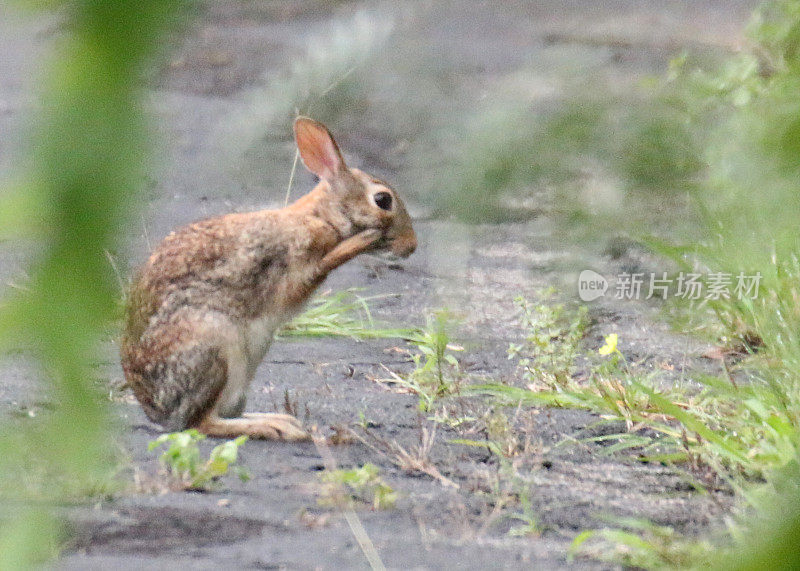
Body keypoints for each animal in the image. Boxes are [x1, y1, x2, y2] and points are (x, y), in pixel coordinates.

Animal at [122, 117, 418, 442]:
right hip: (213, 344)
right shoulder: (293, 267)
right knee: (202, 422)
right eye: (383, 200)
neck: (320, 217)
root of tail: (158, 413)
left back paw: (281, 421)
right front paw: (362, 240)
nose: (411, 246)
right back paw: (275, 427)